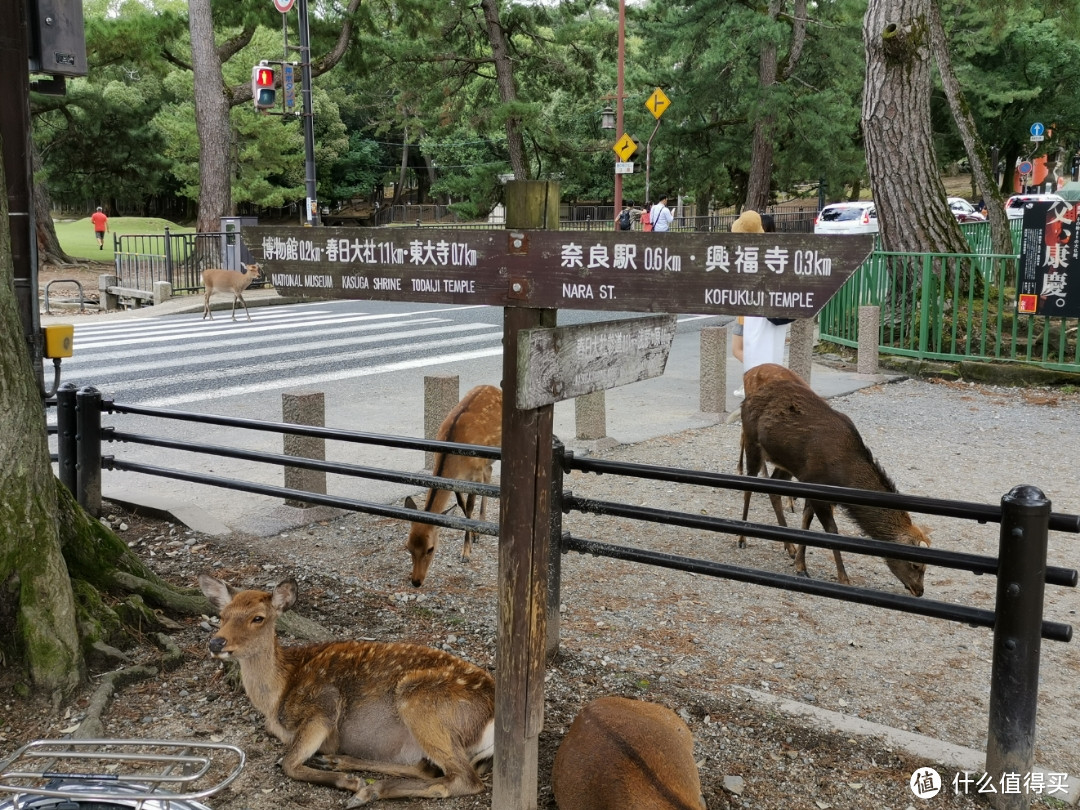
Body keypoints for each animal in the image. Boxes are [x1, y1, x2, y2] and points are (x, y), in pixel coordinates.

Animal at [197, 574, 494, 807]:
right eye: (222, 616)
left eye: (257, 618)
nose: (216, 643)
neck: (275, 699)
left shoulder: (323, 706)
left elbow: (288, 763)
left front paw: (348, 783)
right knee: (428, 768)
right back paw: (338, 762)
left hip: (421, 701)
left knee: (465, 780)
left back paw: (367, 790)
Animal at [406, 384, 503, 587]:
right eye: (408, 547)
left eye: (430, 549)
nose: (416, 581)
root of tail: (494, 387)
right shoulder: (456, 481)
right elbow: (461, 505)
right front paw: (473, 536)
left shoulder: (474, 474)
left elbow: (470, 506)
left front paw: (466, 553)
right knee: (489, 472)